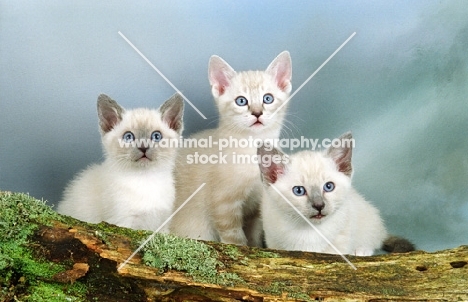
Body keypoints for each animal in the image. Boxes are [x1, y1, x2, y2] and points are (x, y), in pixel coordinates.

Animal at [57, 92, 184, 231]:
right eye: (128, 137)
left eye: (156, 136)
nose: (143, 147)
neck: (145, 178)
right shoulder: (122, 223)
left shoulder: (162, 227)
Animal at [168, 51, 292, 245]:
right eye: (241, 101)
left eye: (268, 98)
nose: (257, 113)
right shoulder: (223, 205)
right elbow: (235, 239)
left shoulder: (256, 208)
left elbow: (254, 237)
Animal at [258, 132, 412, 255]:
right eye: (299, 191)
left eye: (329, 187)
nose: (319, 205)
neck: (310, 231)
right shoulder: (274, 240)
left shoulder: (341, 238)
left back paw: (361, 251)